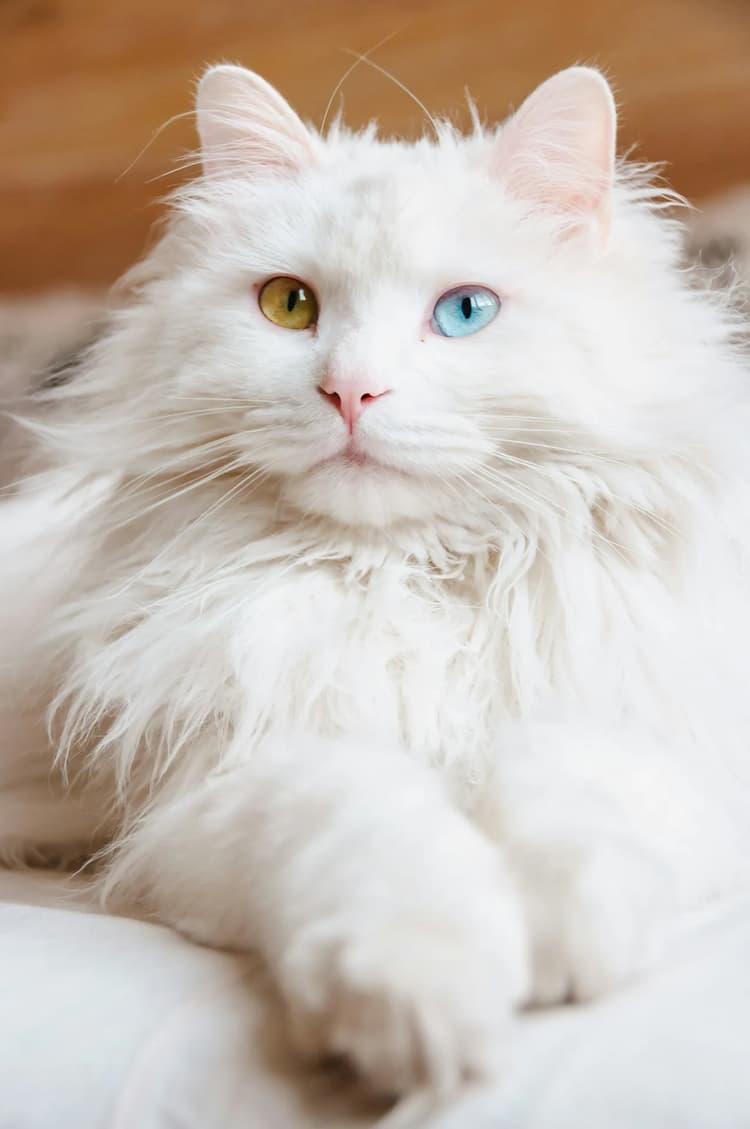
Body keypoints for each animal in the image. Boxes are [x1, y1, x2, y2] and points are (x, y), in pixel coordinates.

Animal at [1, 61, 750, 1092]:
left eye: (465, 312)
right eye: (289, 305)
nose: (350, 391)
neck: (403, 575)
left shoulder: (646, 734)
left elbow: (570, 800)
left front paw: (562, 940)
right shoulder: (236, 779)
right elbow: (379, 846)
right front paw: (424, 1006)